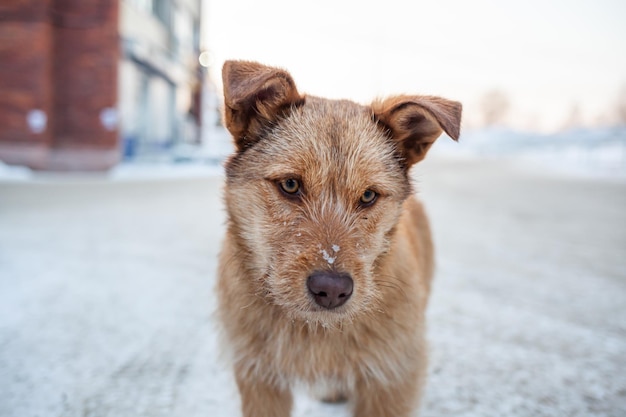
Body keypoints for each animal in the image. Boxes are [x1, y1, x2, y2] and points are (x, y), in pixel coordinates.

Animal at [216, 59, 458, 416]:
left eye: (369, 195)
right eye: (290, 185)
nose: (331, 290)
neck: (315, 330)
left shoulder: (393, 376)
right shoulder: (258, 377)